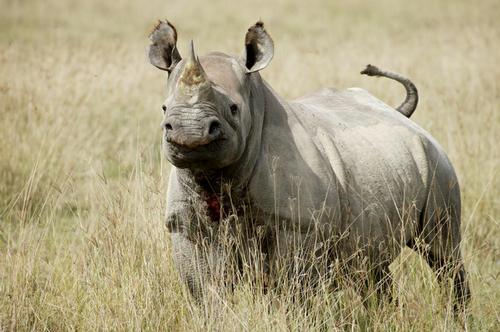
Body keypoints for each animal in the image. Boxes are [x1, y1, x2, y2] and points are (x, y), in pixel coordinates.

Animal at [146, 20, 470, 312]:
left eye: (234, 109)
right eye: (164, 108)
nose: (189, 133)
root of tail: (400, 116)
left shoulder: (298, 226)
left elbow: (290, 292)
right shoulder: (187, 227)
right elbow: (207, 291)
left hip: (436, 162)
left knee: (443, 255)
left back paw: (456, 315)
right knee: (371, 267)